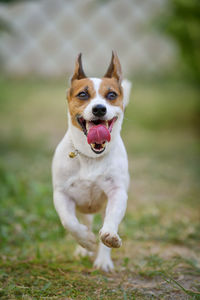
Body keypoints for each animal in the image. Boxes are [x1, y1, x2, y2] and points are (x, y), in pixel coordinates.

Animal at [51, 52, 131, 272]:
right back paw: (84, 248)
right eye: (83, 95)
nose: (99, 109)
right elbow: (69, 222)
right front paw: (85, 241)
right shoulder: (61, 194)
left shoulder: (117, 192)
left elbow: (110, 222)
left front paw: (109, 238)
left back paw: (103, 260)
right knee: (84, 222)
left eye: (111, 95)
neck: (90, 156)